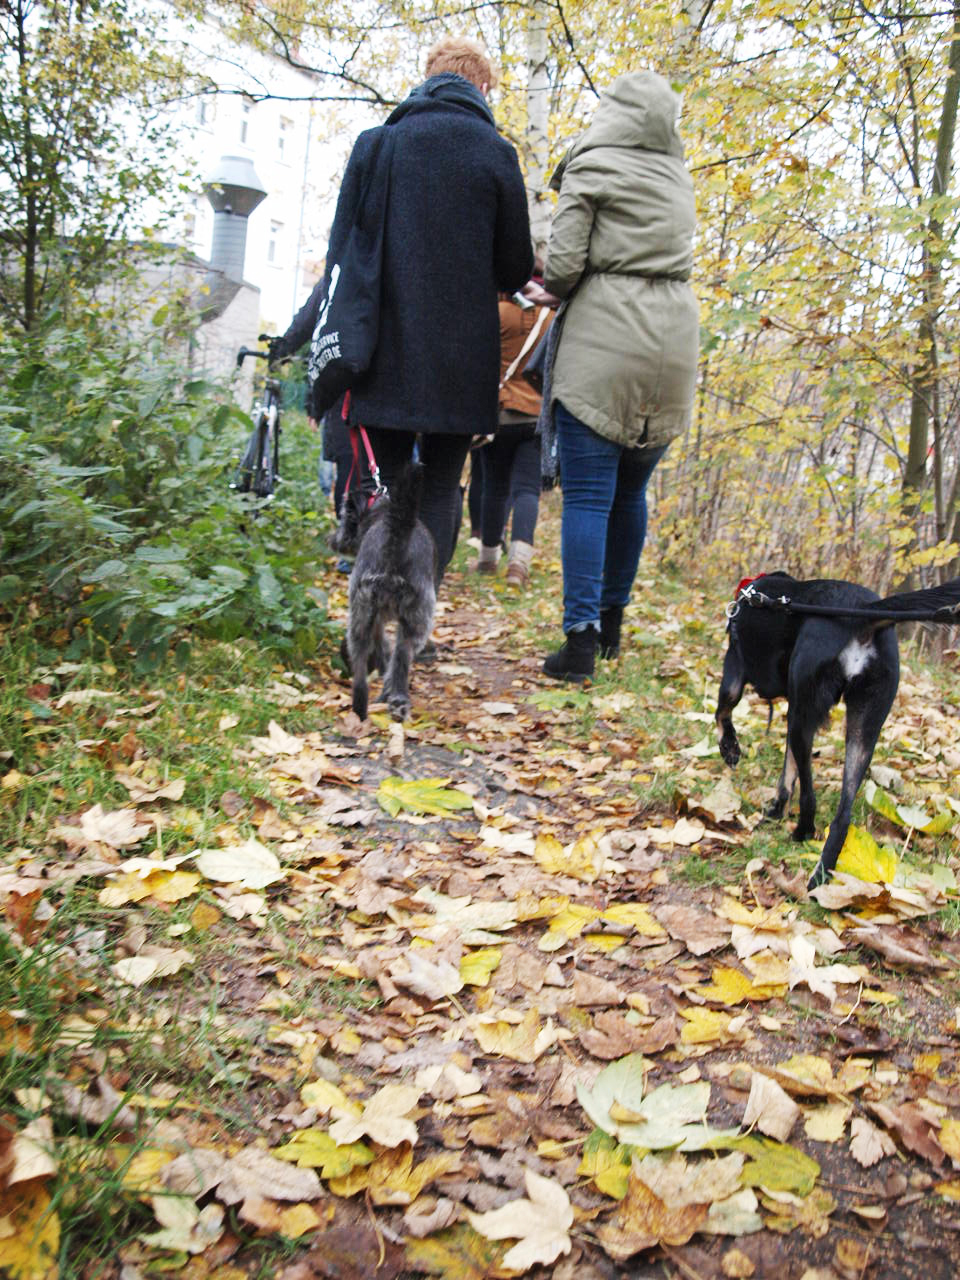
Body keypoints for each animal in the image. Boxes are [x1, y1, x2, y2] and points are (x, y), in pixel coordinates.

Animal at [330, 463, 435, 727]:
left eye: (343, 517)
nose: (332, 540)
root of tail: (396, 533)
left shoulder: (373, 618)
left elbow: (382, 651)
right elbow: (387, 653)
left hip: (361, 616)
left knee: (360, 672)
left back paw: (362, 709)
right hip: (416, 621)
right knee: (400, 660)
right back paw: (395, 700)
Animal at [716, 573, 957, 890]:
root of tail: (862, 612)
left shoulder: (735, 669)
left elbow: (723, 713)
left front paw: (730, 748)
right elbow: (787, 773)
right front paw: (777, 811)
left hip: (804, 714)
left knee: (809, 795)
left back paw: (803, 833)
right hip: (862, 727)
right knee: (842, 815)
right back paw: (820, 874)